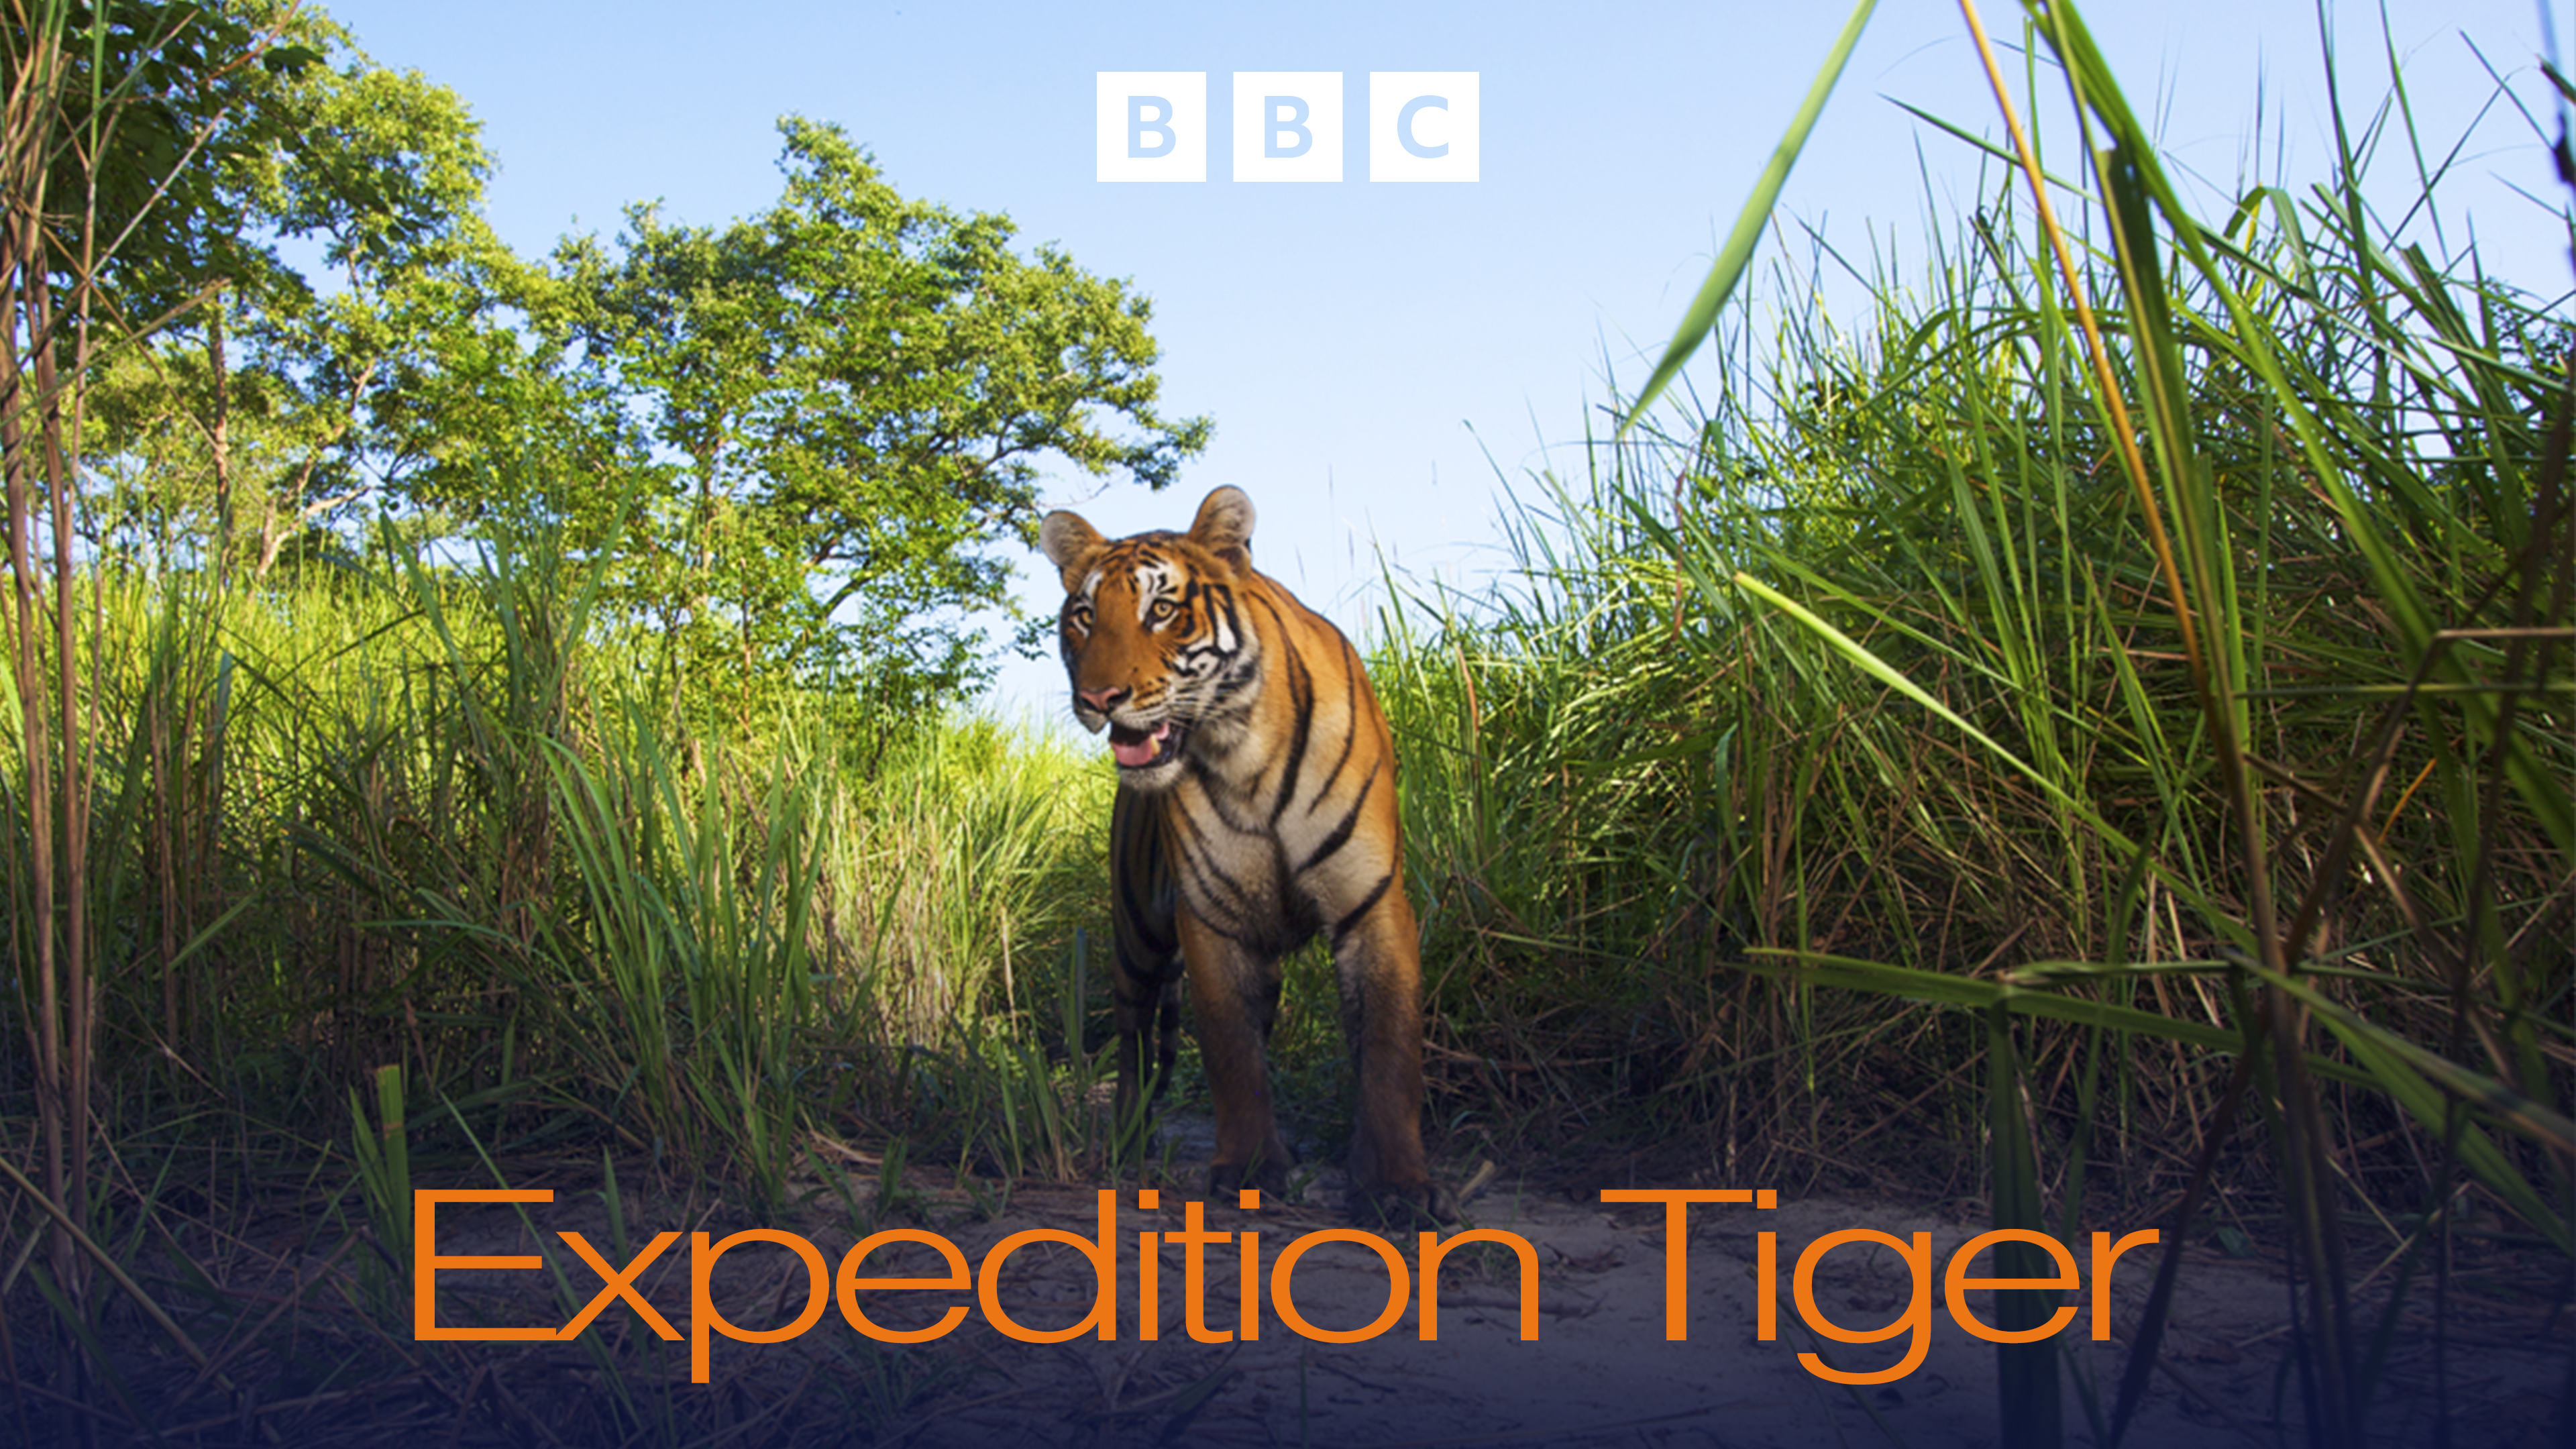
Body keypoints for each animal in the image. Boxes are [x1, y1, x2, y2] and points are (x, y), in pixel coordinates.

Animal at [1038, 486, 1454, 1222]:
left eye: (1161, 610)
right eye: (1085, 617)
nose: (1098, 699)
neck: (1242, 752)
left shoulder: (1371, 904)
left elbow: (1389, 1048)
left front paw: (1397, 1186)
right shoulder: (1211, 916)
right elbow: (1231, 1052)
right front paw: (1251, 1170)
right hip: (1137, 930)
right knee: (1136, 1036)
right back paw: (1129, 1144)